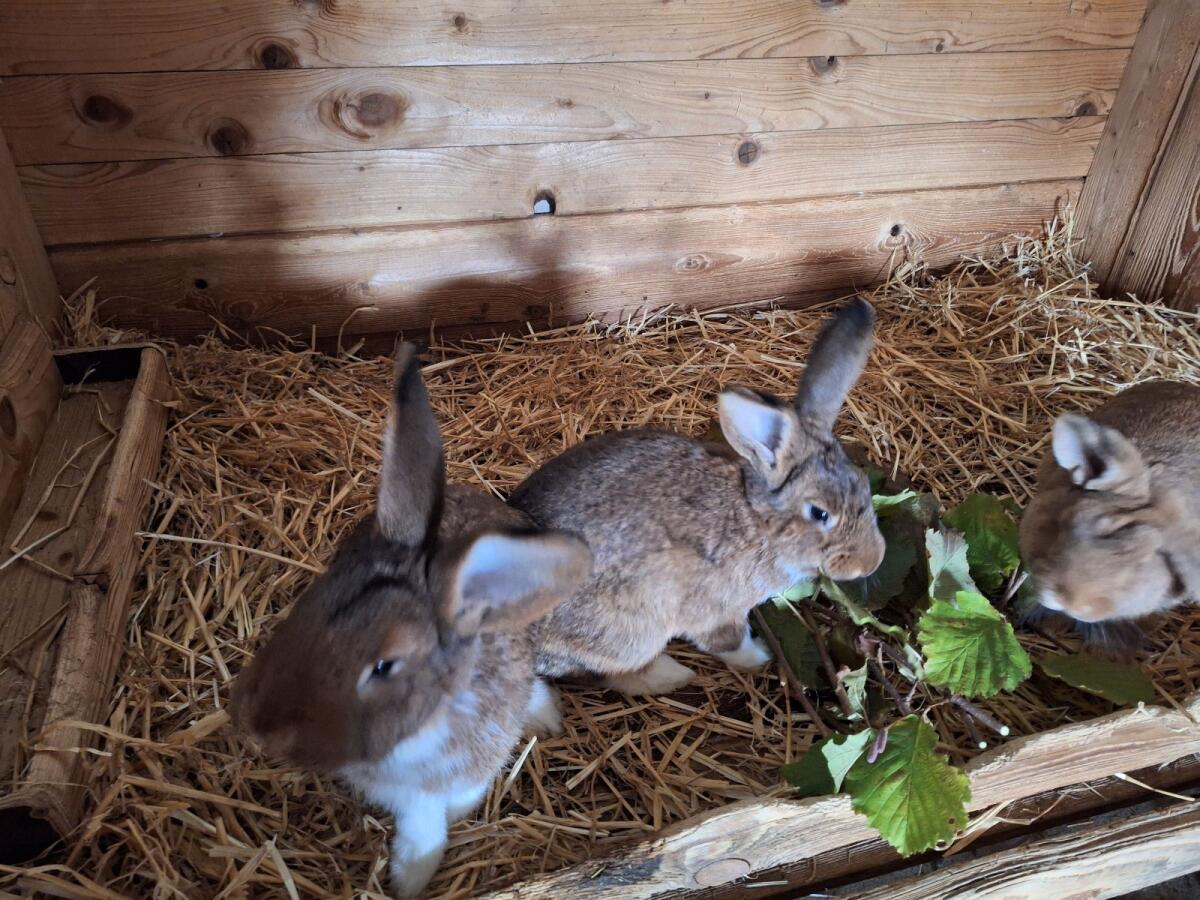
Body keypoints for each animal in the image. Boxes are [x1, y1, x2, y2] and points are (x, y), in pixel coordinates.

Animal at [231, 344, 591, 898]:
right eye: (308, 604)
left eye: (384, 666)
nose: (259, 727)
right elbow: (421, 824)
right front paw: (408, 877)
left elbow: (441, 814)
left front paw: (410, 877)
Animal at [511, 298, 886, 695]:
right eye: (820, 513)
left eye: (864, 485)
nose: (871, 562)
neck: (756, 522)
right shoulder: (716, 610)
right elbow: (729, 641)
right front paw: (761, 656)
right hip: (628, 633)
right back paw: (675, 675)